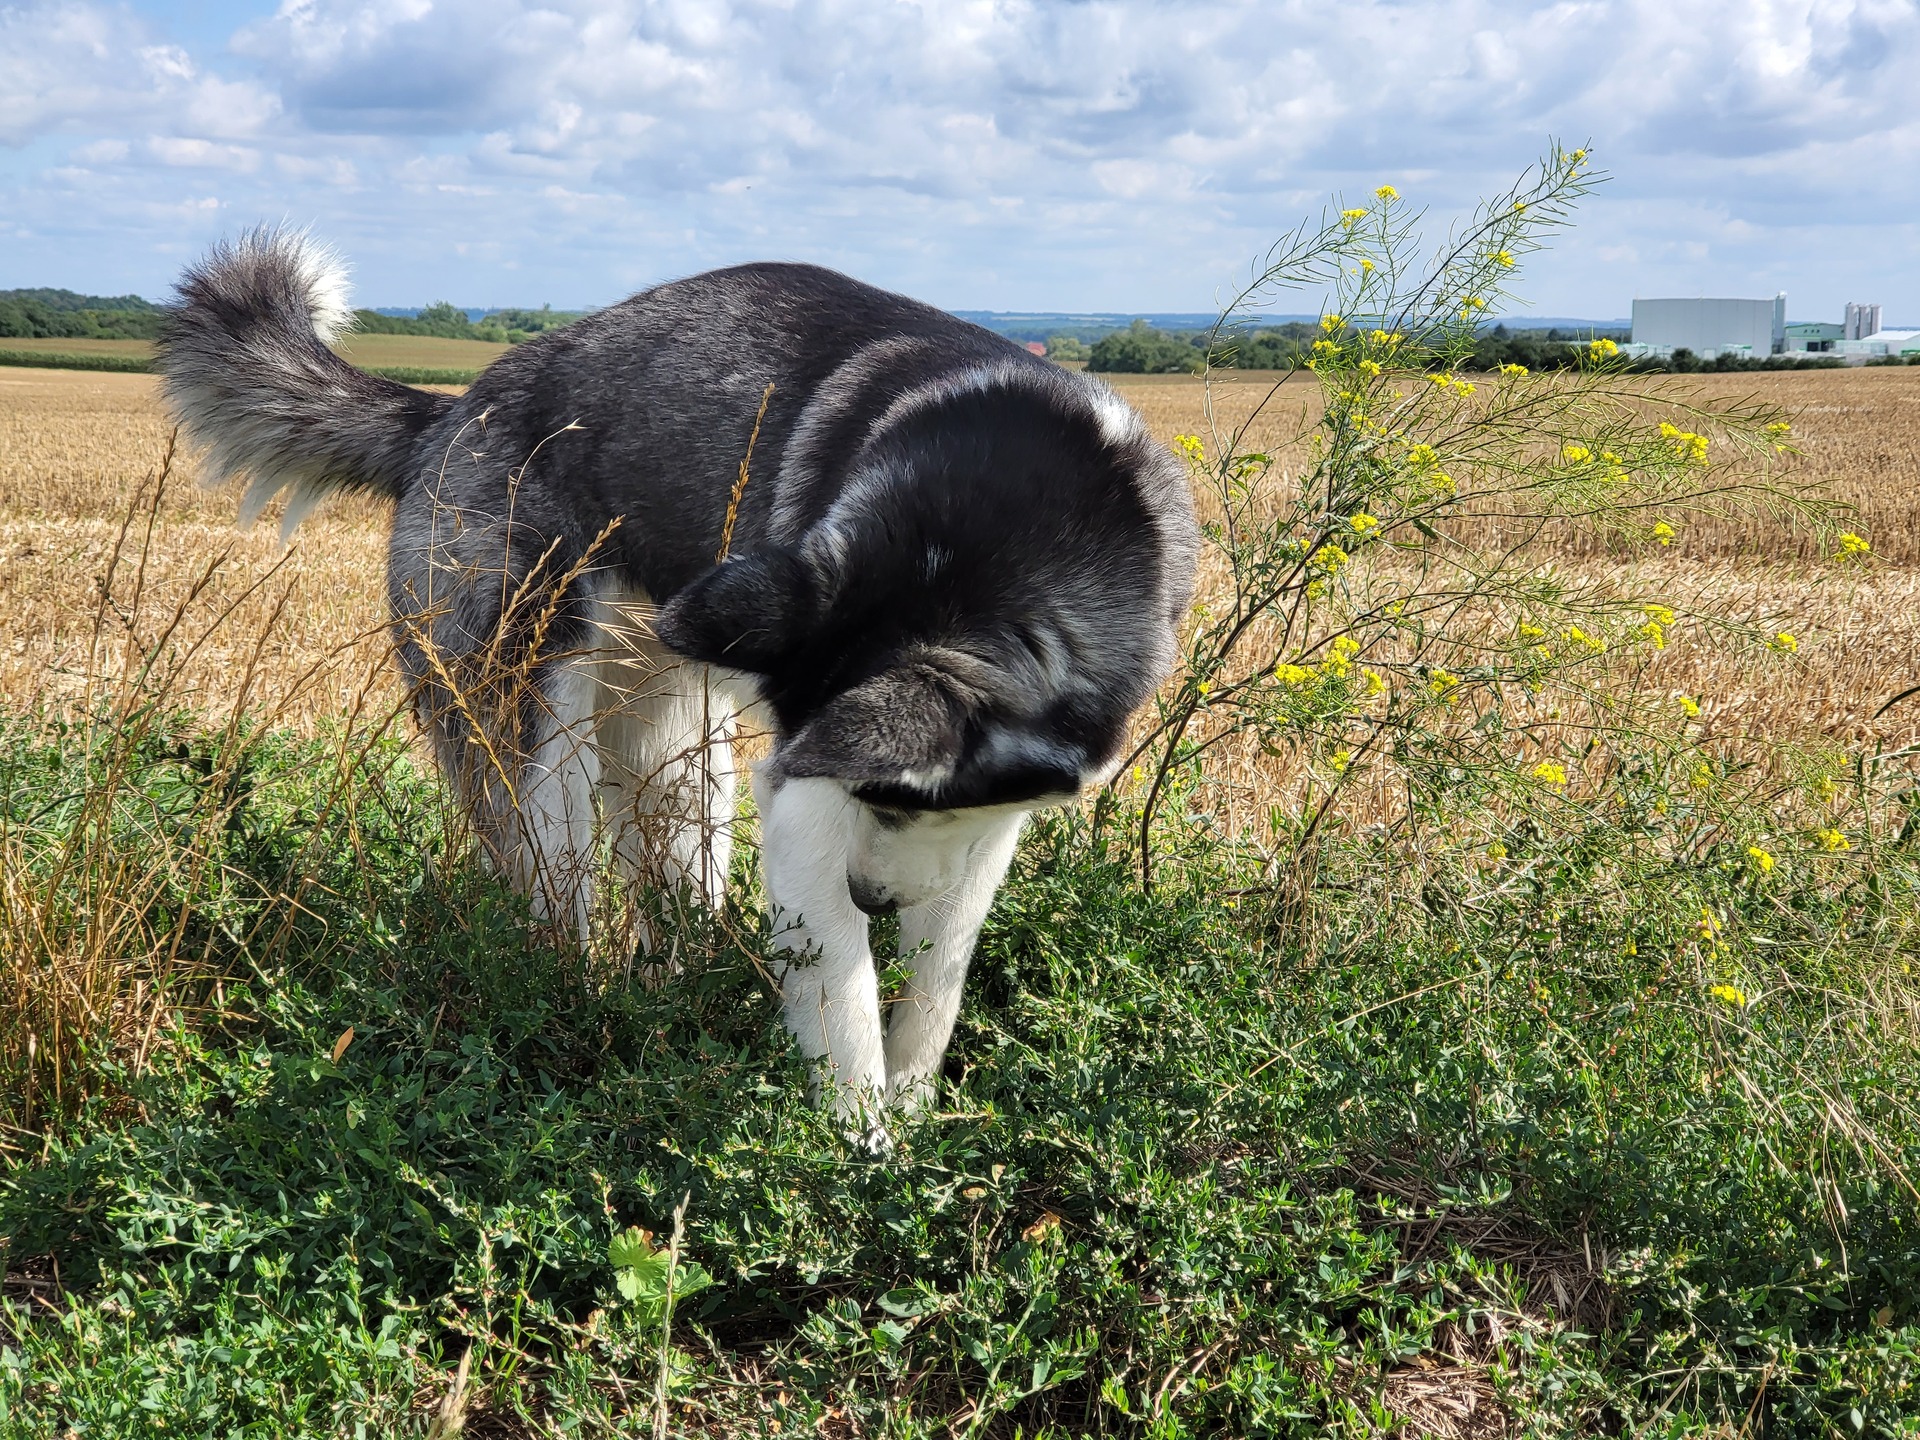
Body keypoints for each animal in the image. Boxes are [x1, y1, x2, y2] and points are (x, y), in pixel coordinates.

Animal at [157, 231, 1190, 1144]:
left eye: (901, 801)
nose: (870, 900)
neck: (1005, 532)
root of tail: (446, 416)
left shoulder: (978, 827)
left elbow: (935, 988)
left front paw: (912, 1110)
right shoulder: (803, 796)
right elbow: (844, 994)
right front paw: (864, 1156)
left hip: (684, 768)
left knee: (669, 902)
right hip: (542, 758)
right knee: (557, 906)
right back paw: (580, 1018)